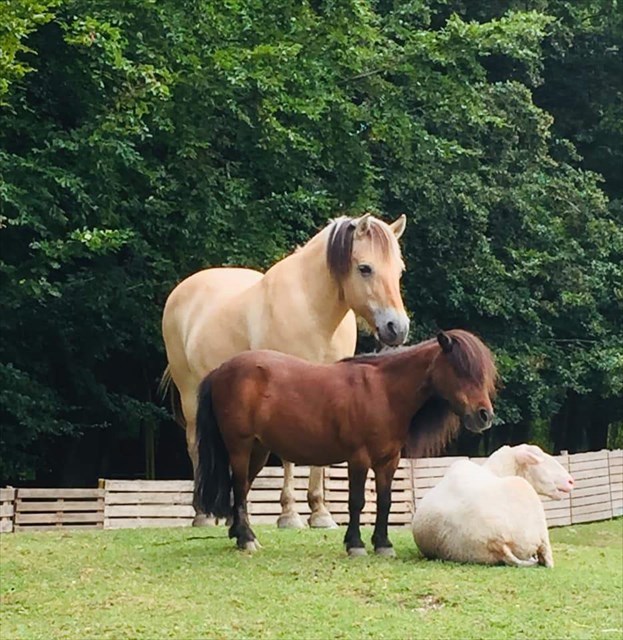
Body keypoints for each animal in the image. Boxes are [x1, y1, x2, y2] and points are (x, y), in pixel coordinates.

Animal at [163, 212, 412, 528]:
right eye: (365, 268)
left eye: (399, 271)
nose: (398, 328)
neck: (311, 310)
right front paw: (290, 515)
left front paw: (320, 513)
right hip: (191, 396)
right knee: (195, 445)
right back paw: (204, 515)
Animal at [195, 330, 498, 556]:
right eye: (461, 370)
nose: (484, 415)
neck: (383, 392)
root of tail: (220, 371)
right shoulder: (358, 458)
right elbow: (357, 501)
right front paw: (355, 544)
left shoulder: (388, 461)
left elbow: (385, 501)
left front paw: (383, 544)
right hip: (240, 447)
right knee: (238, 488)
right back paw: (246, 539)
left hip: (258, 450)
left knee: (242, 489)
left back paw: (239, 534)